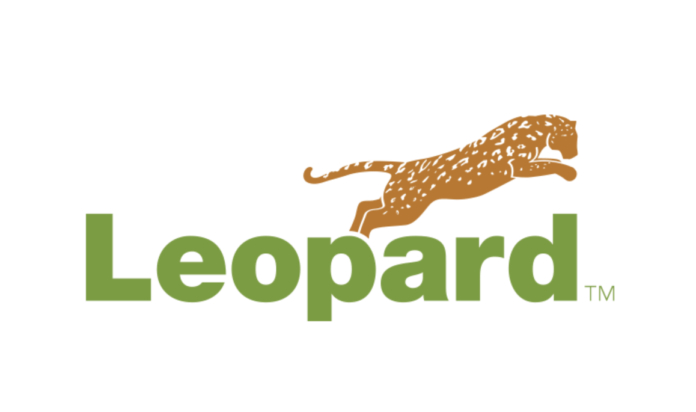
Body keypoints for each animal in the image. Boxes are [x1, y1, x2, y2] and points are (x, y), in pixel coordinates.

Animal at [304, 114, 578, 237]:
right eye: (572, 138)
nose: (576, 153)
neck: (539, 130)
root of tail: (400, 166)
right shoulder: (518, 167)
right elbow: (548, 164)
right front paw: (570, 172)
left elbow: (548, 162)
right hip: (404, 210)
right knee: (371, 215)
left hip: (394, 202)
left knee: (364, 205)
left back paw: (352, 236)